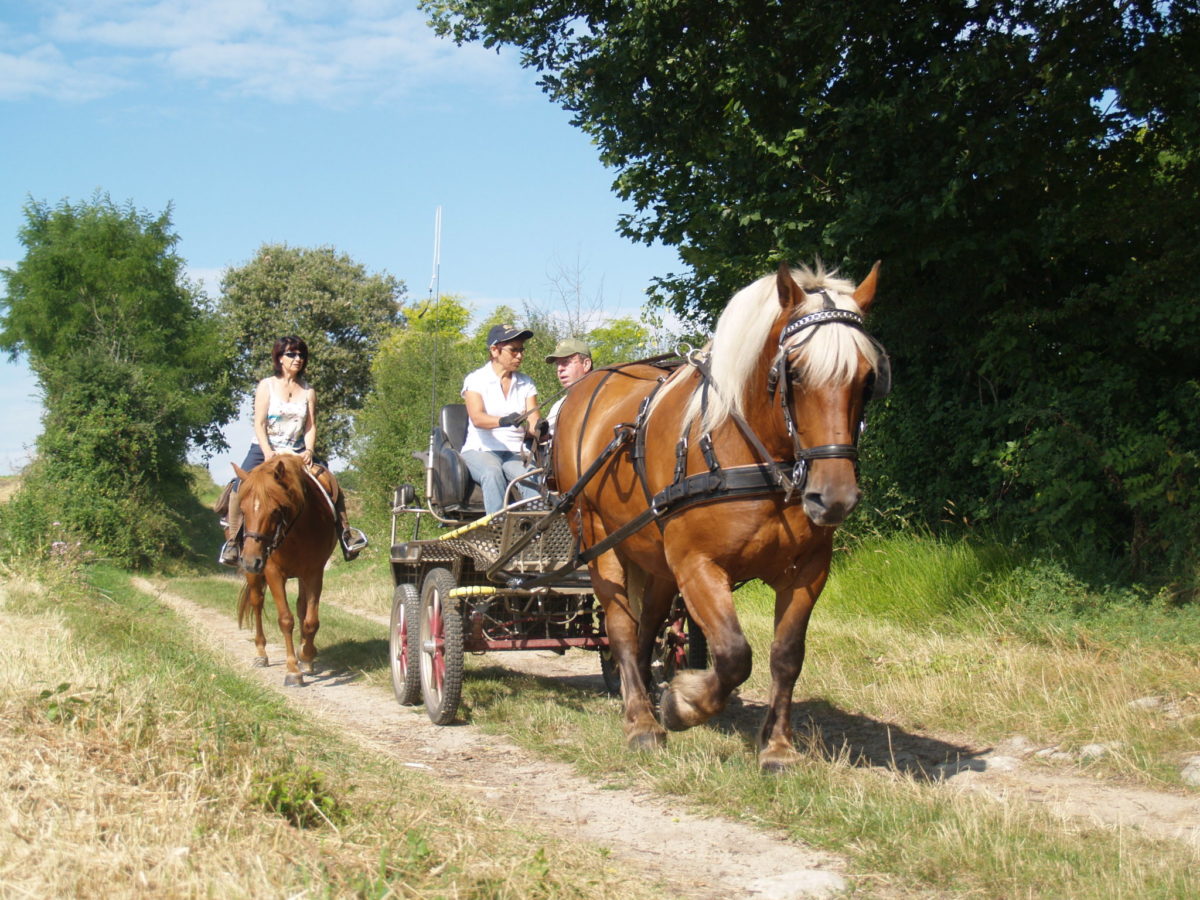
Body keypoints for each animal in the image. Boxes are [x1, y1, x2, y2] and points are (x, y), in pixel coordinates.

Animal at [232, 453, 338, 686]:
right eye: (242, 510)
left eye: (276, 510)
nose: (251, 560)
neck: (295, 532)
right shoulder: (273, 573)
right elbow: (286, 620)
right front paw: (292, 670)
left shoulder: (314, 572)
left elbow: (310, 621)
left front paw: (306, 655)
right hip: (255, 576)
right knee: (257, 602)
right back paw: (261, 654)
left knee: (301, 607)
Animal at [556, 262, 888, 777]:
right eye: (793, 372)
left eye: (868, 378)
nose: (834, 497)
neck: (749, 454)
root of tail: (584, 390)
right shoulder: (698, 566)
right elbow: (734, 655)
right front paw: (684, 704)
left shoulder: (809, 571)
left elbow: (786, 656)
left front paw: (777, 747)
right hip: (598, 538)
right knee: (622, 628)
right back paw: (642, 722)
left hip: (655, 558)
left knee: (648, 625)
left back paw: (645, 698)